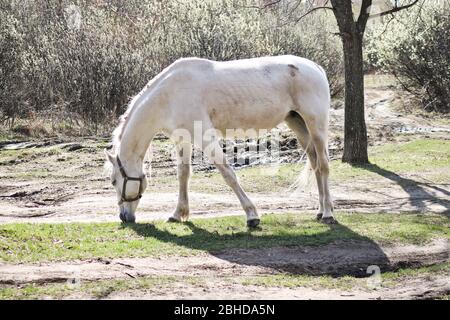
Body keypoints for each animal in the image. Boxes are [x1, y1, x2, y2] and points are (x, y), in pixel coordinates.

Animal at [104, 56, 334, 228]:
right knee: (315, 164)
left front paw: (252, 215)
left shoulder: (205, 137)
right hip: (298, 124)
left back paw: (329, 214)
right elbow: (183, 174)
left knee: (323, 165)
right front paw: (178, 214)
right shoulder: (182, 139)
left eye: (114, 181)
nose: (123, 217)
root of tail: (316, 68)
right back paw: (321, 210)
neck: (169, 95)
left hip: (316, 126)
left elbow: (227, 173)